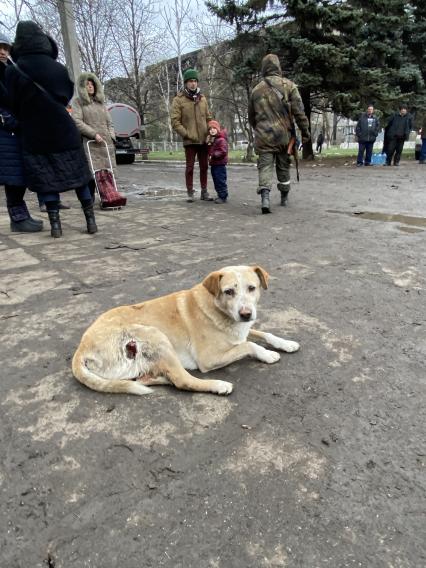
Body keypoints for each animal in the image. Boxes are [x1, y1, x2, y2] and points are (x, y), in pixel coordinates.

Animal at [72, 266, 300, 394]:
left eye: (252, 288)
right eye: (229, 291)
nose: (246, 314)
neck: (217, 307)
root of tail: (81, 349)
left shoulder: (241, 329)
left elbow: (262, 333)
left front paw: (286, 343)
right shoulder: (209, 358)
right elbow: (249, 345)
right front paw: (267, 354)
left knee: (161, 378)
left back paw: (156, 378)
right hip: (156, 335)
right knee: (183, 380)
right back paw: (218, 385)